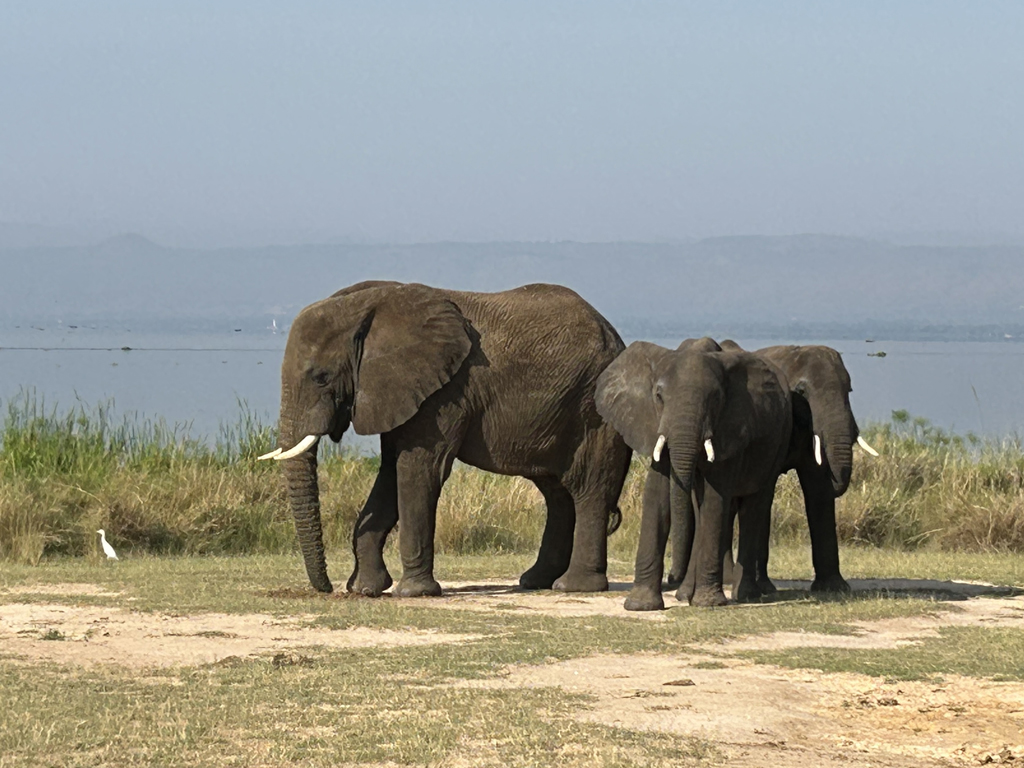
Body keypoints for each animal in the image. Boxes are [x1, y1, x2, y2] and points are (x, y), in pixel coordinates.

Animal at [259, 281, 632, 598]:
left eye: (321, 377)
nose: (327, 588)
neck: (368, 306)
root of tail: (616, 338)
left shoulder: (445, 394)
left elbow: (419, 470)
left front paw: (413, 592)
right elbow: (390, 474)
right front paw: (366, 589)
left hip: (594, 409)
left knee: (588, 487)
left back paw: (574, 586)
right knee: (556, 493)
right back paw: (535, 581)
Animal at [595, 338, 792, 611]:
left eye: (717, 398)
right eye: (658, 396)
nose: (671, 578)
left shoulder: (729, 429)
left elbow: (715, 497)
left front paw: (708, 603)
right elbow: (656, 494)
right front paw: (640, 605)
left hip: (778, 443)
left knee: (755, 504)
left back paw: (744, 595)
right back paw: (685, 594)